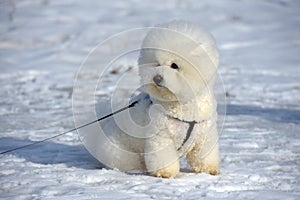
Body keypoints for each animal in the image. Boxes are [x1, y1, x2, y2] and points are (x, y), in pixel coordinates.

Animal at [91, 20, 218, 178]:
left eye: (174, 65)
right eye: (157, 64)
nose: (156, 78)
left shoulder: (205, 135)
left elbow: (205, 156)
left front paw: (210, 169)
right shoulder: (161, 136)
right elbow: (163, 157)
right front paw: (165, 173)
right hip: (122, 153)